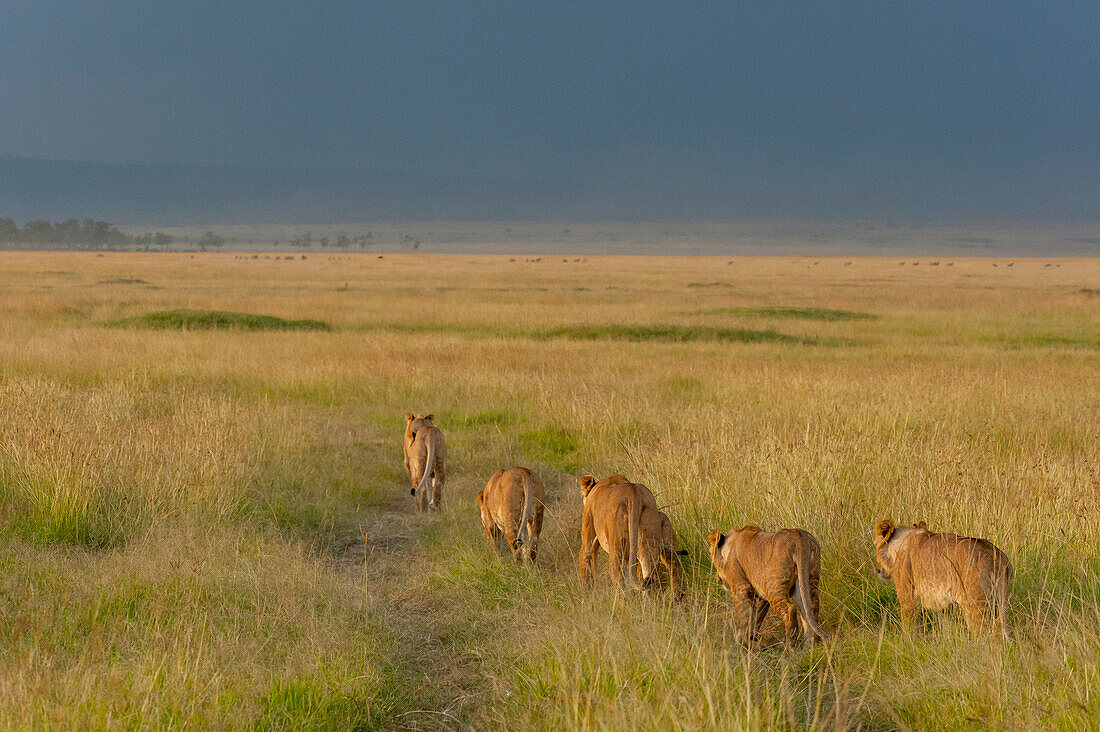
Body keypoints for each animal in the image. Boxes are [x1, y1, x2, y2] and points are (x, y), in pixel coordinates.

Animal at [871, 519, 1007, 634]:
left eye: (875, 545)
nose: (877, 568)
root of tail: (995, 556)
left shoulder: (907, 597)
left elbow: (910, 627)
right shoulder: (944, 605)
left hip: (975, 605)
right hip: (1001, 605)